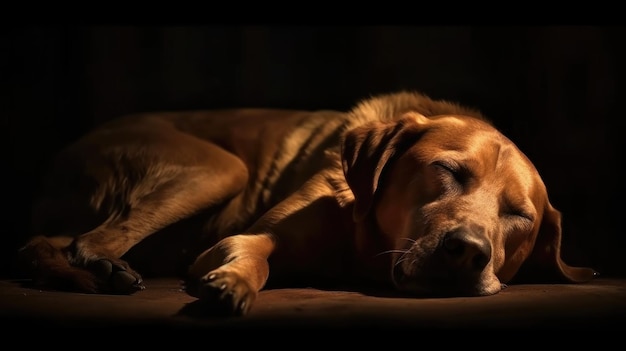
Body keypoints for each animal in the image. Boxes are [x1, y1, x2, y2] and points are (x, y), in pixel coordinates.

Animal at [18, 91, 596, 316]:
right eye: (449, 172)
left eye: (519, 216)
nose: (470, 252)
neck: (362, 247)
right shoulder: (250, 235)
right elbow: (255, 256)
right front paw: (233, 283)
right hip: (218, 169)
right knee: (84, 239)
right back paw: (104, 267)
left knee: (46, 242)